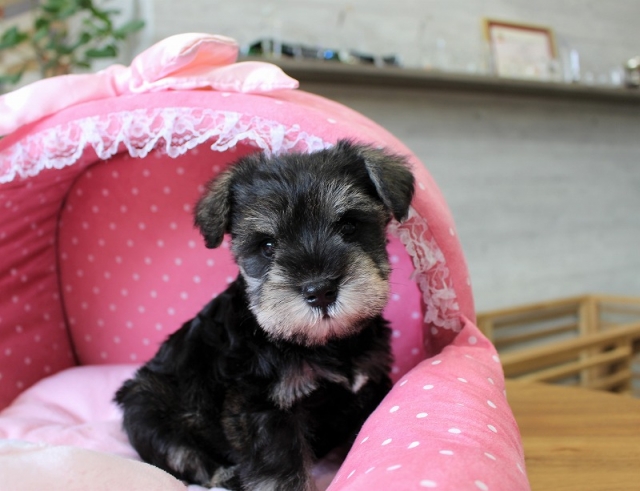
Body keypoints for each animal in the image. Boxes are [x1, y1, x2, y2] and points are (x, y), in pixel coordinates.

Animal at [115, 139, 415, 491]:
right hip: (144, 403)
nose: (320, 291)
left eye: (349, 225)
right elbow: (280, 473)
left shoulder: (371, 382)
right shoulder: (262, 409)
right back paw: (226, 475)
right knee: (182, 454)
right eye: (267, 246)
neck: (324, 343)